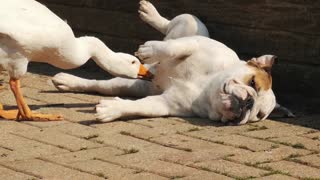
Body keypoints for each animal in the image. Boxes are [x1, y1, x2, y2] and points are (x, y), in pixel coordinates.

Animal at [52, 0, 288, 125]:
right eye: (253, 83)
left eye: (258, 115)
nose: (249, 102)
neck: (207, 87)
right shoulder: (196, 44)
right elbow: (174, 48)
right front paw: (150, 50)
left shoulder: (165, 104)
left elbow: (138, 105)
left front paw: (113, 109)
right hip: (192, 26)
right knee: (170, 27)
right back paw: (151, 14)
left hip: (139, 85)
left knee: (109, 86)